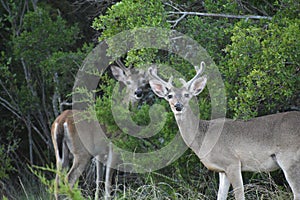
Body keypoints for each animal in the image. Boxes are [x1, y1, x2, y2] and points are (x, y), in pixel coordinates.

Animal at [52, 61, 149, 200]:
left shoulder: (99, 154)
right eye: (128, 82)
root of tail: (61, 120)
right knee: (69, 180)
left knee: (56, 183)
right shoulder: (114, 148)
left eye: (142, 82)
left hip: (60, 154)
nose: (138, 92)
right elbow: (108, 182)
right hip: (82, 152)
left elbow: (98, 180)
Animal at [148, 62, 300, 200]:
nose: (178, 106)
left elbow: (240, 195)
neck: (203, 138)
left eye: (187, 95)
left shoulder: (233, 162)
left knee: (296, 193)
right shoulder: (222, 170)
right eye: (169, 96)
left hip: (288, 157)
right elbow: (220, 196)